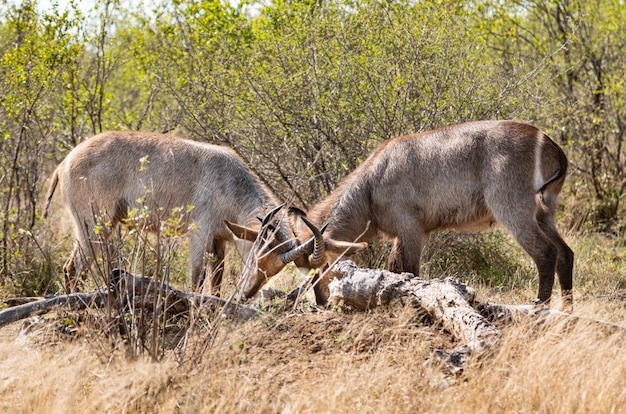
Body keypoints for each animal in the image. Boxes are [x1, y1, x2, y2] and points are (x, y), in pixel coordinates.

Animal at [41, 131, 310, 296]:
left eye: (273, 270)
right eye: (257, 259)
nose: (247, 294)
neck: (231, 180)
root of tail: (65, 162)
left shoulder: (219, 240)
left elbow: (216, 280)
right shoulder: (199, 234)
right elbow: (197, 278)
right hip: (95, 226)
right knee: (72, 268)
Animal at [286, 119, 572, 308]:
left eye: (324, 265)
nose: (321, 301)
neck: (371, 183)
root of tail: (548, 141)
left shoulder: (411, 226)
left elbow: (411, 270)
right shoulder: (400, 234)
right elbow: (395, 268)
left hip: (512, 208)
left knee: (546, 253)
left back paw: (540, 308)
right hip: (544, 214)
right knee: (565, 253)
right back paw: (566, 310)